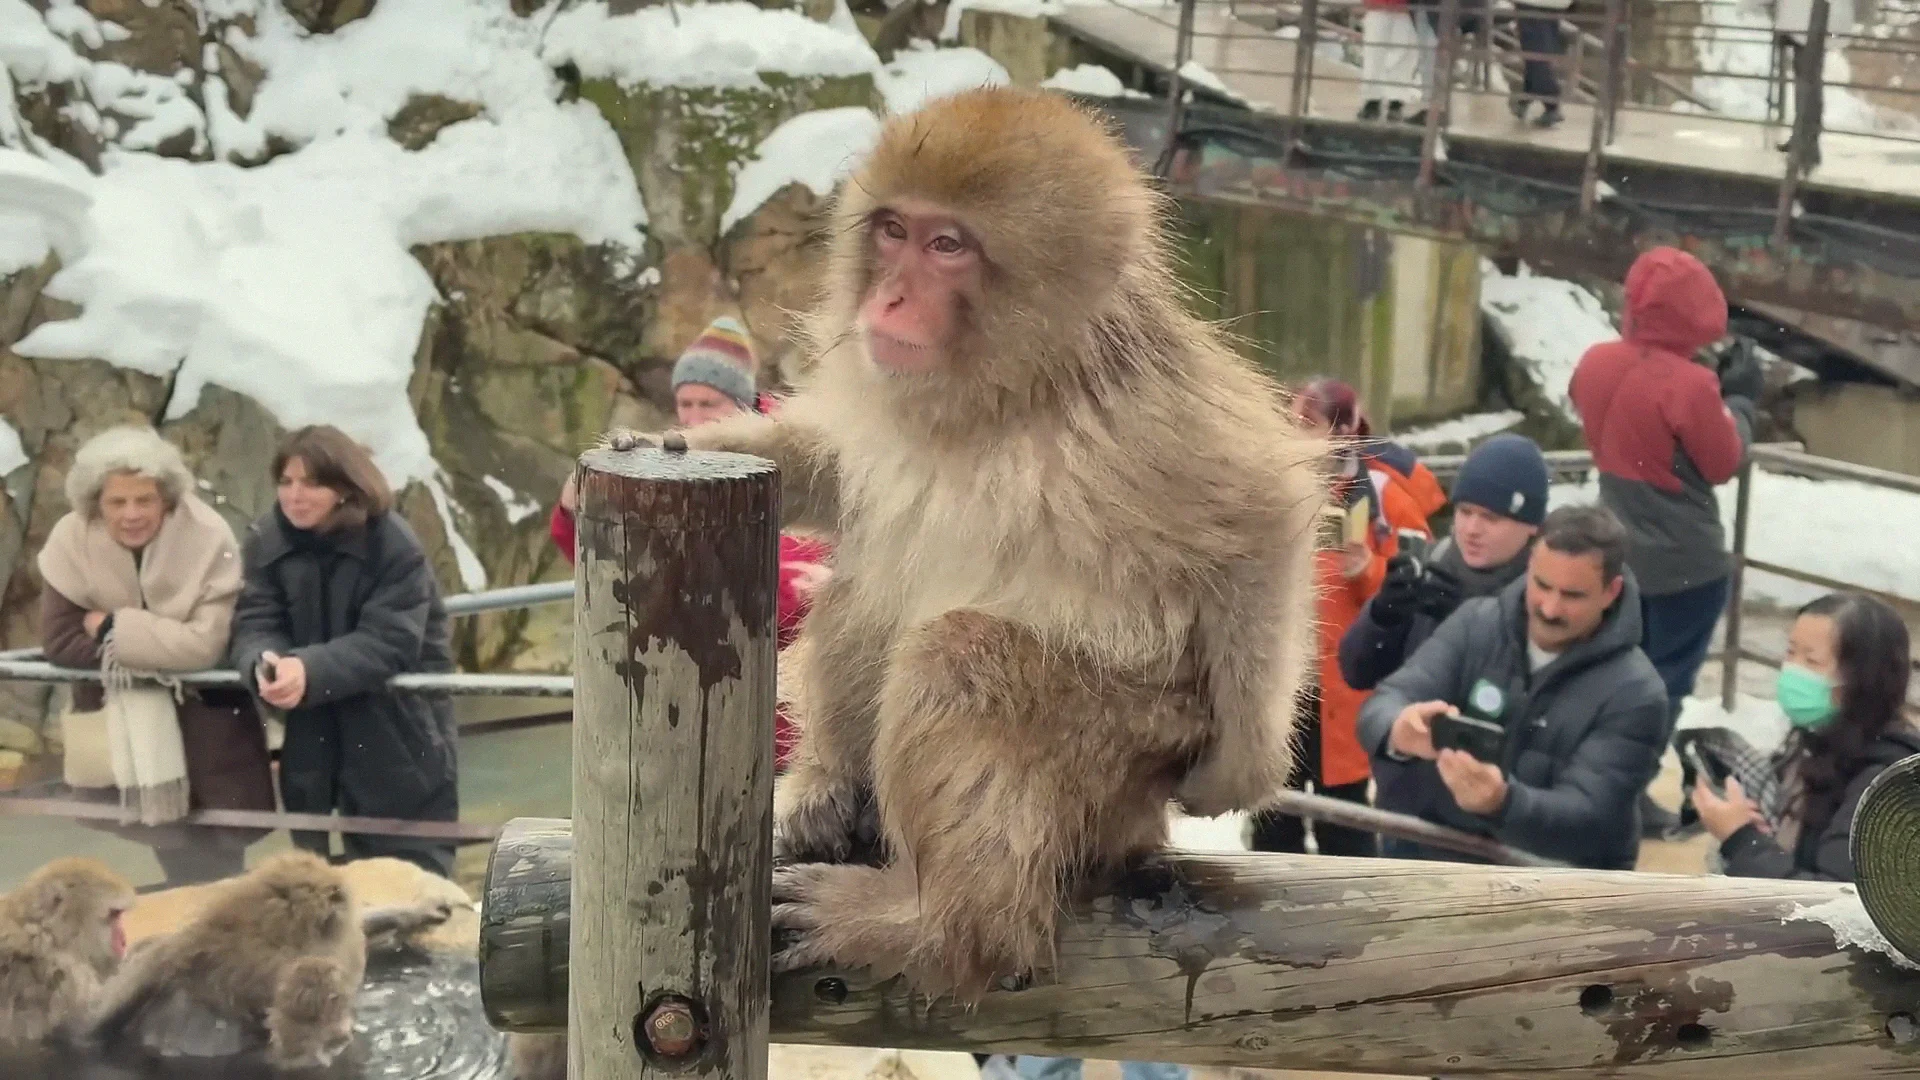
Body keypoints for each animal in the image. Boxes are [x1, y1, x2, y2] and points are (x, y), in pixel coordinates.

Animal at [604, 85, 1327, 1002]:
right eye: (893, 231)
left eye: (947, 246)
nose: (887, 302)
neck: (1002, 402)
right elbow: (837, 471)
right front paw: (682, 443)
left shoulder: (1139, 425)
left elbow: (1265, 523)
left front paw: (1242, 770)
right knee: (869, 581)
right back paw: (830, 789)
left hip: (1127, 756)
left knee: (961, 657)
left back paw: (944, 930)